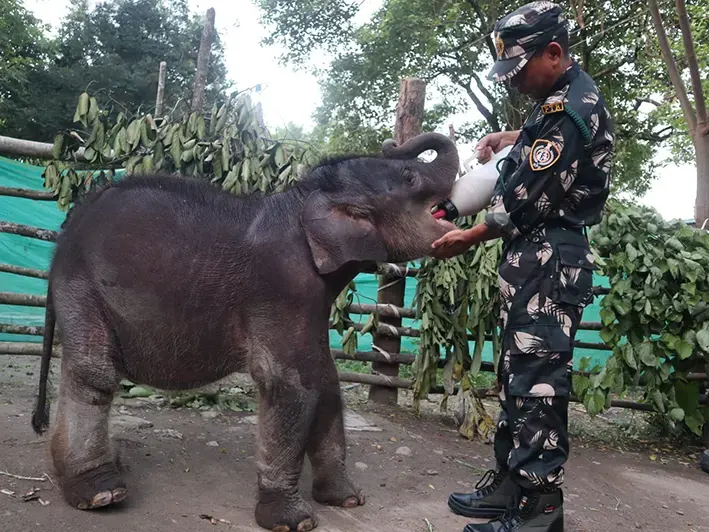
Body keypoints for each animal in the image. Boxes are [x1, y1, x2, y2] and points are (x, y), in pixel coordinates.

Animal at [30, 131, 459, 531]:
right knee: (95, 373)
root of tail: (66, 230)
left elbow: (325, 379)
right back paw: (100, 492)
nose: (391, 142)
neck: (305, 197)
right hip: (81, 285)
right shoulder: (281, 288)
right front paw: (293, 522)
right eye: (408, 177)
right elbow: (290, 384)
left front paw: (347, 501)